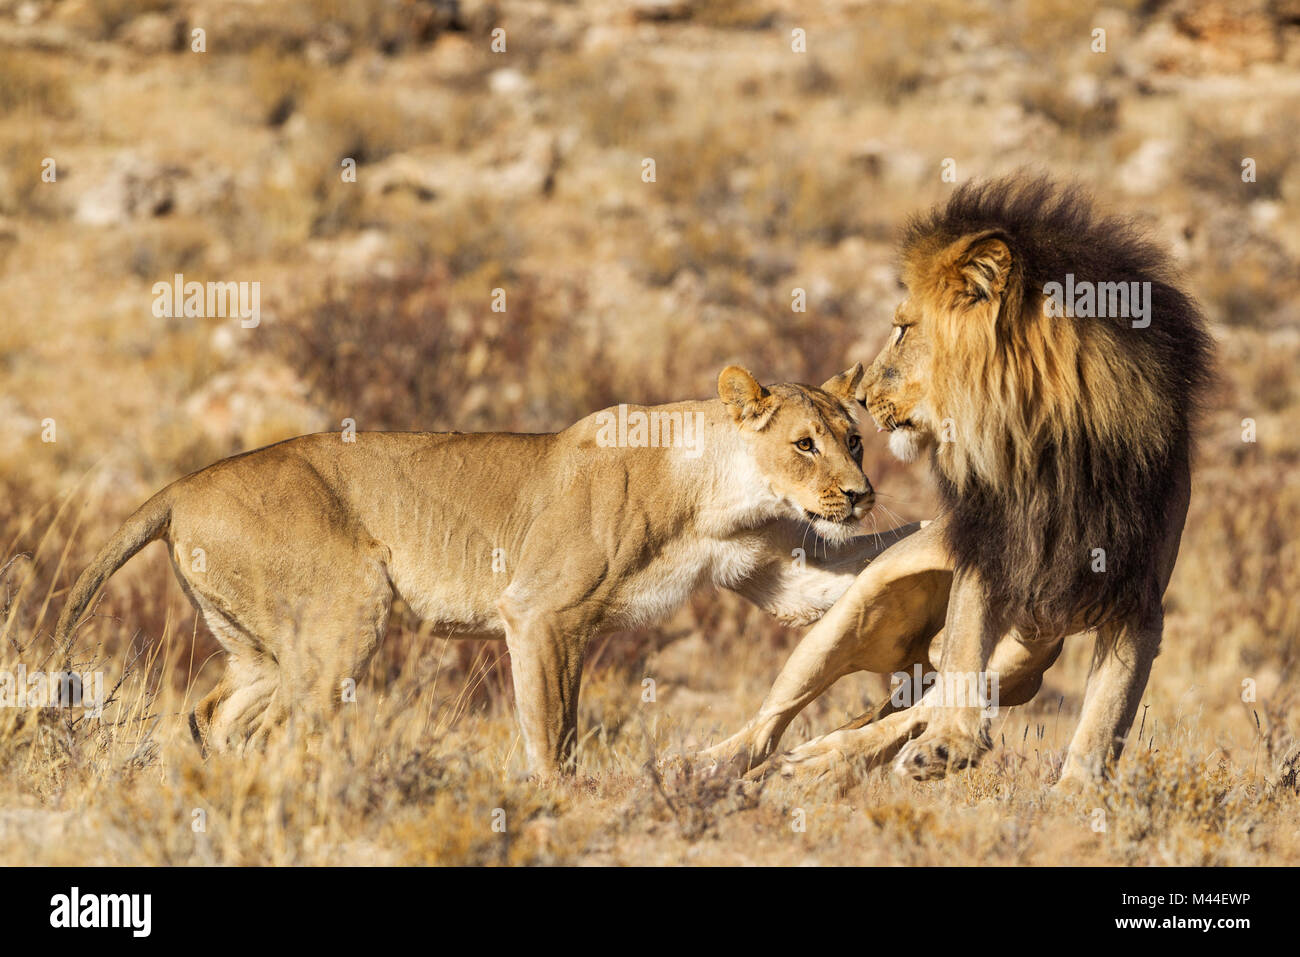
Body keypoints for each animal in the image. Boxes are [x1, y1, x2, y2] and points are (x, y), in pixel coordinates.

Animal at [58, 361, 904, 774]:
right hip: (347, 609)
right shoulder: (540, 610)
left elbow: (835, 585)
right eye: (803, 443)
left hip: (264, 646)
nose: (862, 493)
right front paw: (560, 800)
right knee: (278, 729)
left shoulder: (765, 568)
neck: (721, 490)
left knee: (213, 713)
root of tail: (180, 485)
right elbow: (552, 728)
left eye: (853, 439)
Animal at [707, 178, 1211, 785]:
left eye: (903, 330)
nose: (861, 396)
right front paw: (953, 742)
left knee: (910, 707)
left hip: (1027, 652)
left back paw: (829, 759)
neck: (1046, 444)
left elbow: (1105, 718)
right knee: (775, 719)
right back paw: (708, 765)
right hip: (855, 612)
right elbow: (966, 650)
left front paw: (1076, 791)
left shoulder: (1137, 600)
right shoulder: (985, 557)